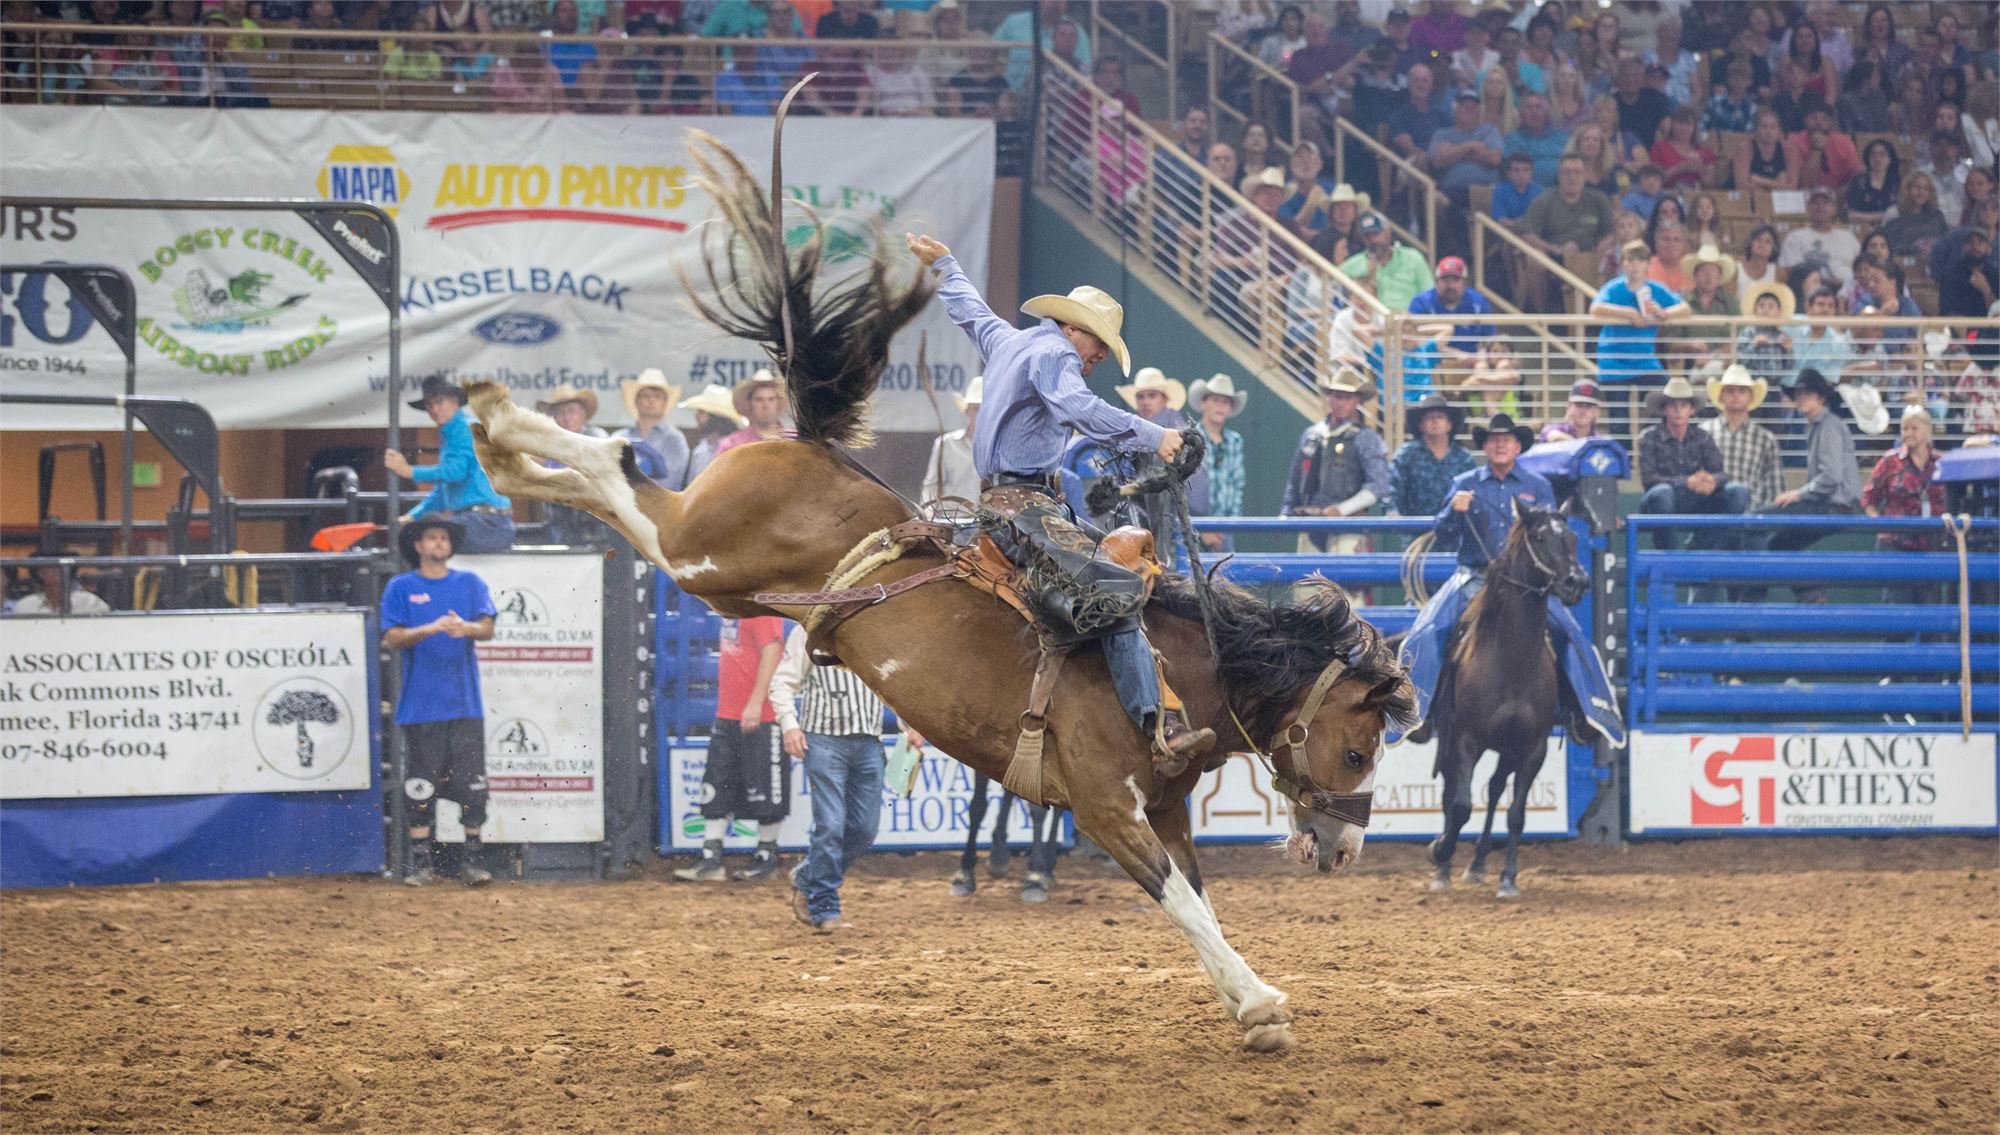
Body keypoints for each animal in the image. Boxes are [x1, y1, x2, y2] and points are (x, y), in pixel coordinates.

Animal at [460, 128, 1416, 1047]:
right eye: (1359, 750)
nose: (1347, 848)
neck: (1178, 665)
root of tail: (806, 443)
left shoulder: (1169, 810)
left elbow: (1200, 897)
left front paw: (1245, 998)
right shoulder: (1107, 806)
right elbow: (1178, 900)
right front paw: (1259, 1002)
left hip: (720, 580)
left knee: (608, 486)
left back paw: (502, 451)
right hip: (703, 552)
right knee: (618, 469)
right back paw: (502, 413)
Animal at [1432, 501, 1584, 899]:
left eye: (1574, 536)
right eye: (1540, 536)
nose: (1576, 582)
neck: (1512, 659)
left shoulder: (1533, 747)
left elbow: (1516, 813)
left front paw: (1508, 878)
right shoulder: (1467, 739)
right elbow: (1461, 806)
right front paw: (1440, 851)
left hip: (1508, 749)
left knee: (1497, 788)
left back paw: (1477, 864)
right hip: (1452, 736)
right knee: (1452, 789)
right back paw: (1444, 867)